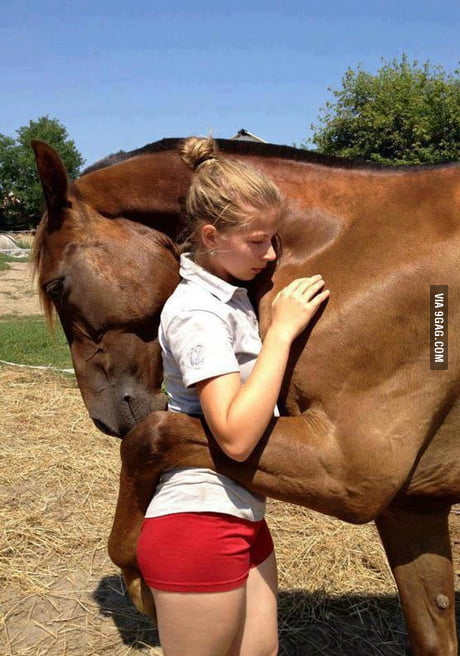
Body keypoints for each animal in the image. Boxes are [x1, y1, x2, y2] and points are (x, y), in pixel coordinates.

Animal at [32, 138, 460, 656]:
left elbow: (148, 439)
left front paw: (138, 578)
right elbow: (433, 630)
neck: (354, 246)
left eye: (57, 285)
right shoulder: (411, 504)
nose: (103, 416)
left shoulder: (350, 471)